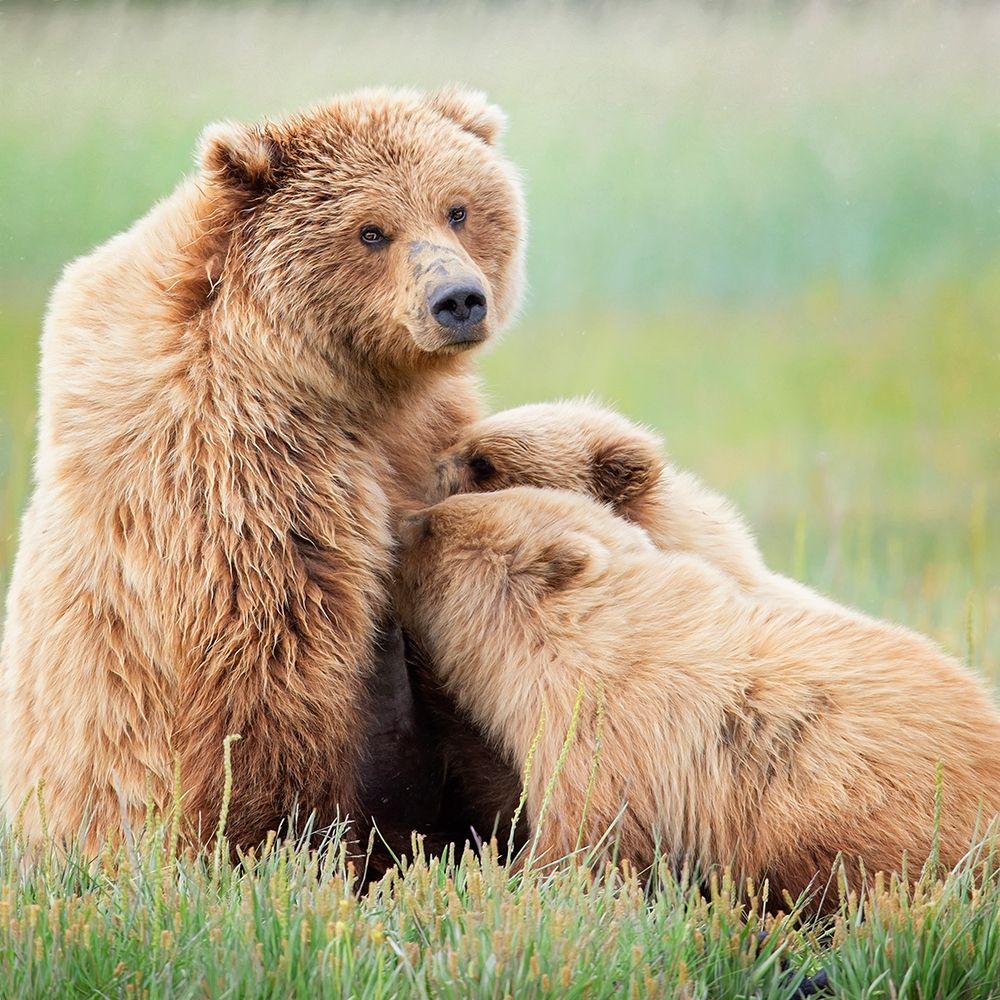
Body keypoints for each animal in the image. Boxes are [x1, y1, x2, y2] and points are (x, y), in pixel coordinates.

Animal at [0, 87, 525, 854]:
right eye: (371, 230)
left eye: (457, 208)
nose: (458, 300)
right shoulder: (240, 463)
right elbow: (270, 654)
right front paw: (287, 838)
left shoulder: (425, 430)